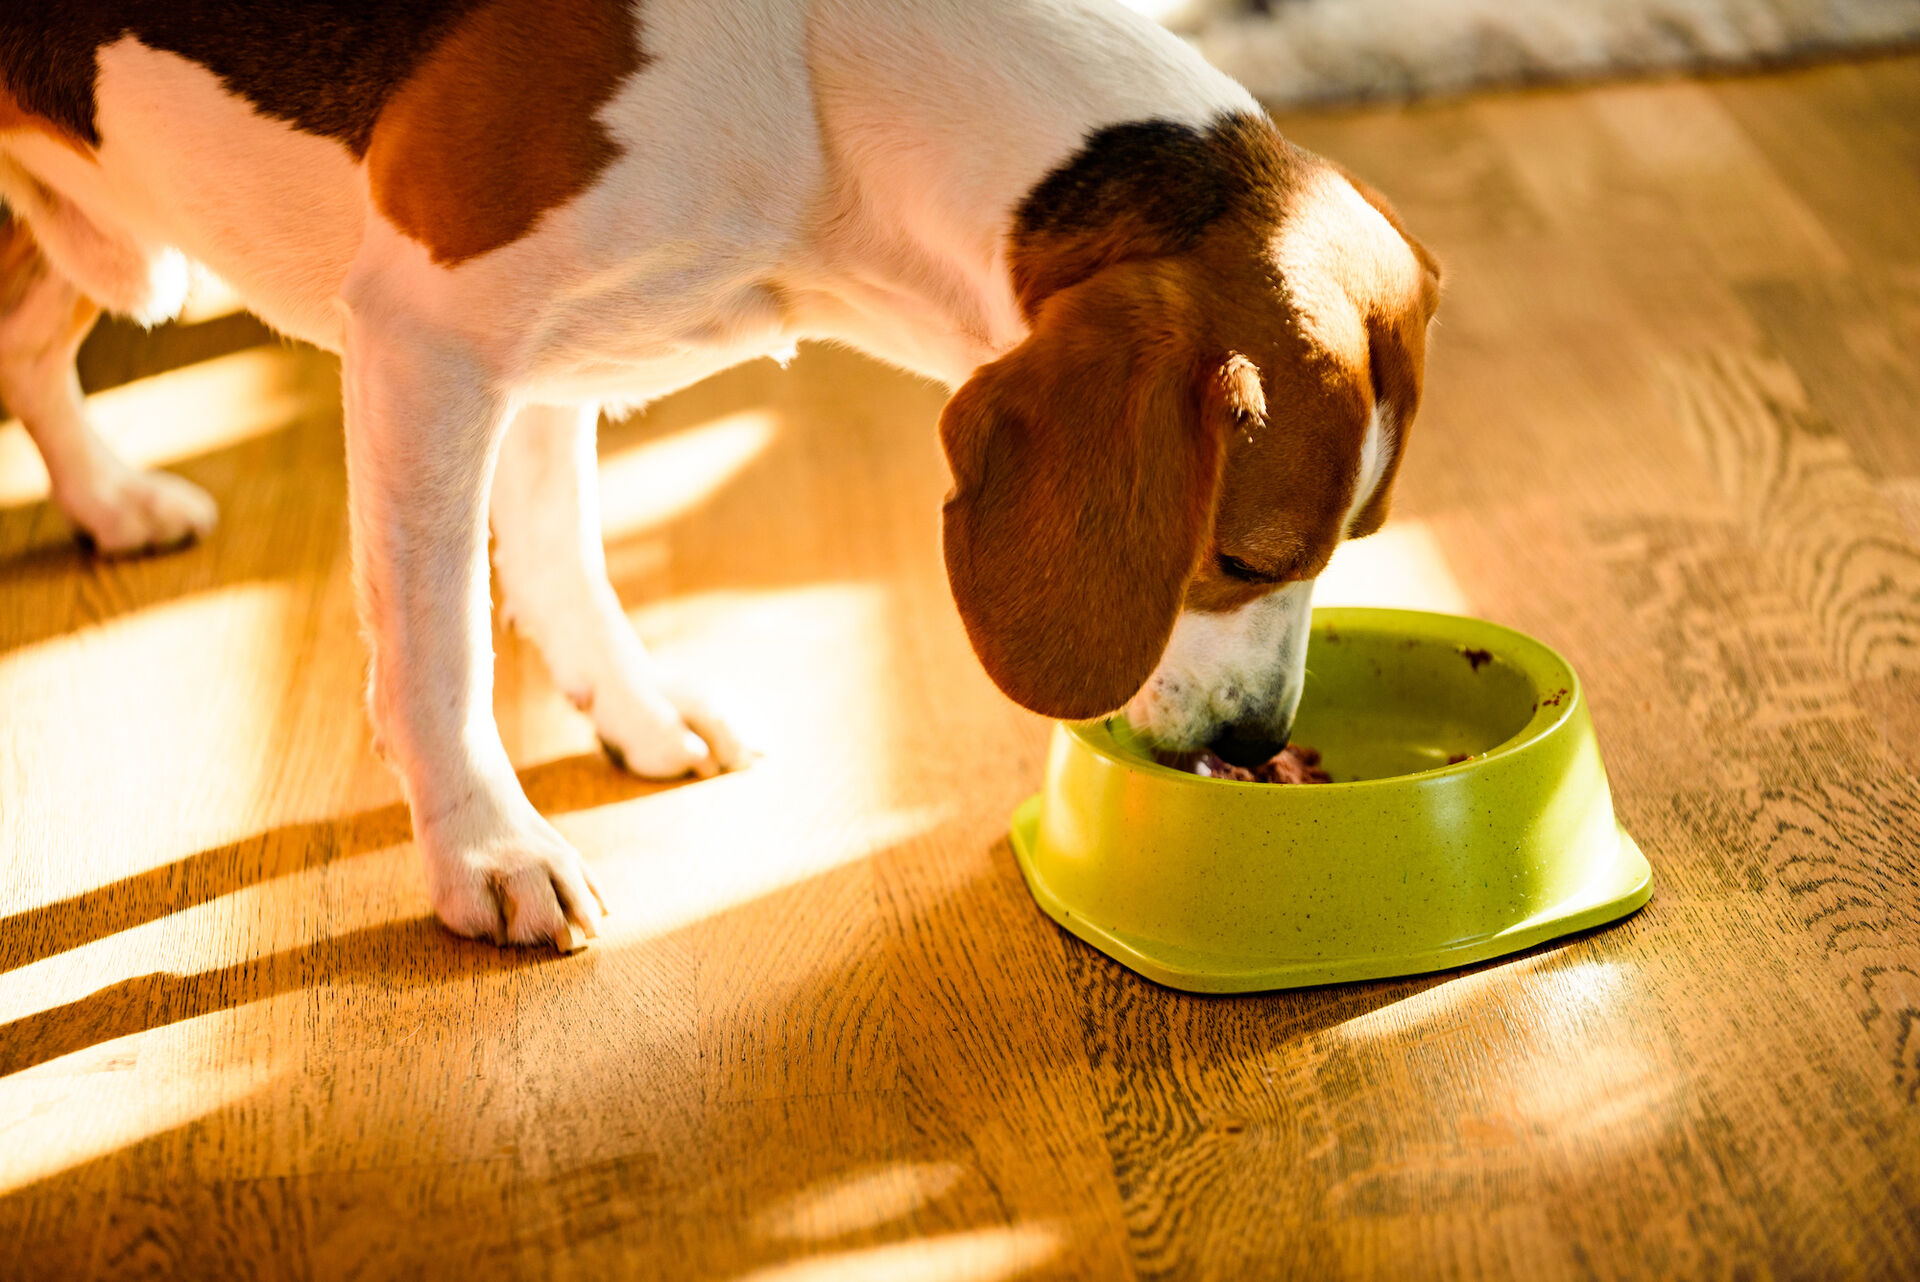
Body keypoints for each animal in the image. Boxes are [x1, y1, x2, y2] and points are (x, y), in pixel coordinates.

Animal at [3, 0, 1443, 940]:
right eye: (1242, 556)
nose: (1257, 739)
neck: (828, 94)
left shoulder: (547, 359)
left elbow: (563, 556)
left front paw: (633, 709)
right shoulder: (430, 336)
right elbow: (440, 648)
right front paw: (485, 846)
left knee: (25, 351)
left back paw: (111, 497)